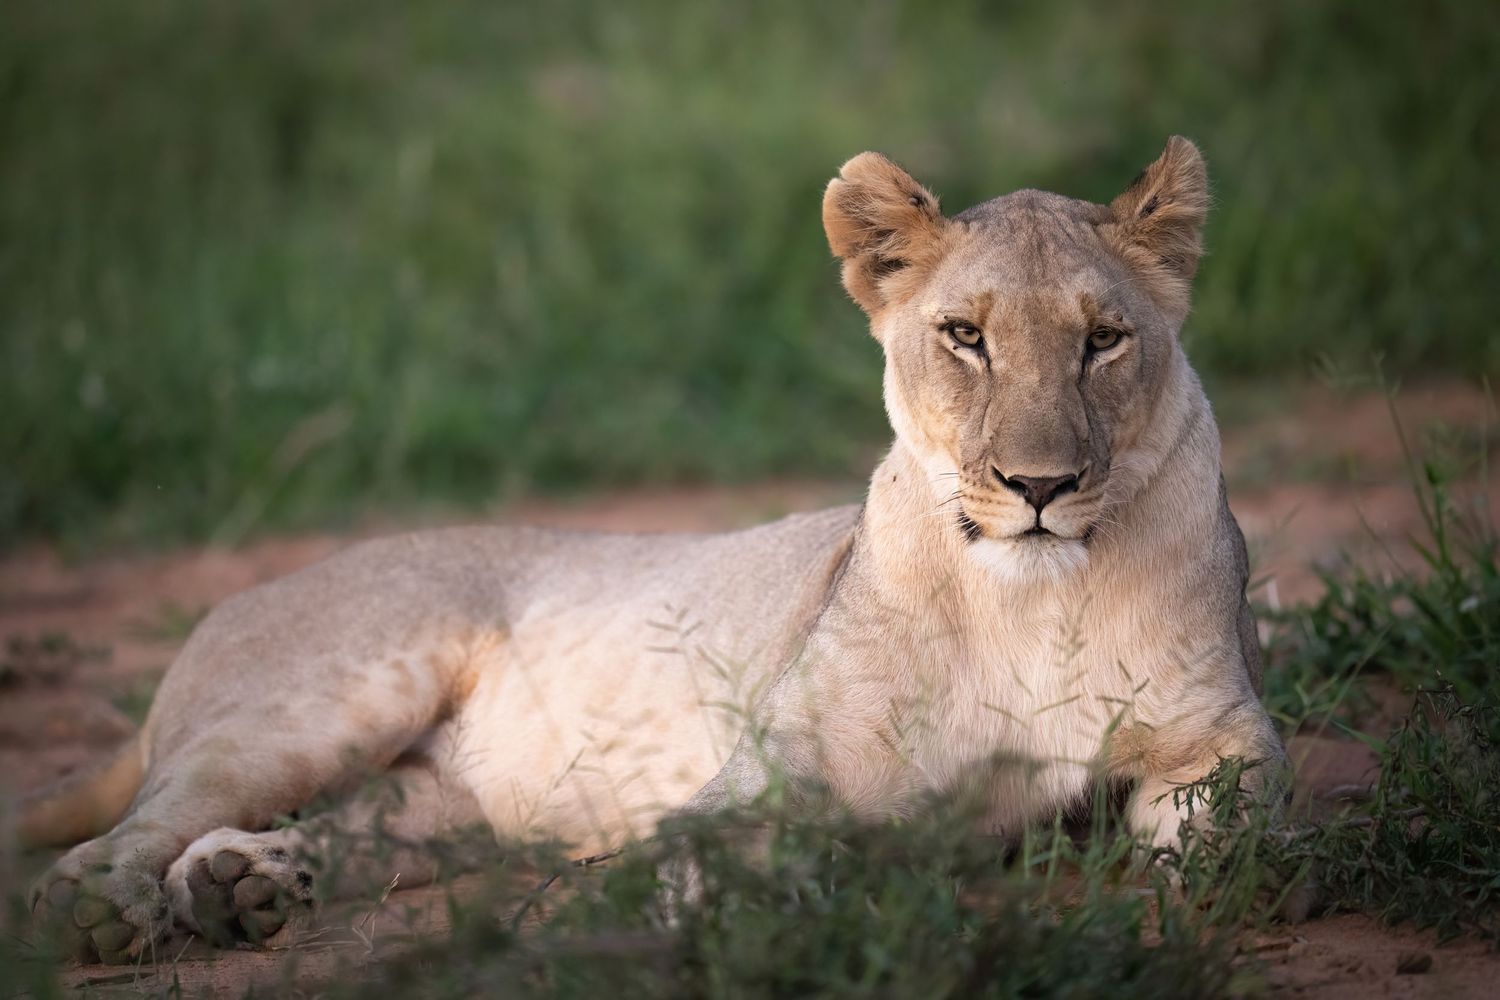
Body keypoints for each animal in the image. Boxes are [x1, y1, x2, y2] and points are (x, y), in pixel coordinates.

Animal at [19, 137, 1286, 963]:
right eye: (965, 336)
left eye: (1104, 340)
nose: (1039, 487)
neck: (1027, 599)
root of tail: (237, 604)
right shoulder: (782, 757)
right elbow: (744, 839)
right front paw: (725, 906)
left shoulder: (1213, 731)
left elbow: (1239, 830)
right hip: (318, 704)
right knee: (136, 825)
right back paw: (113, 910)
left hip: (439, 814)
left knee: (338, 831)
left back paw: (244, 889)